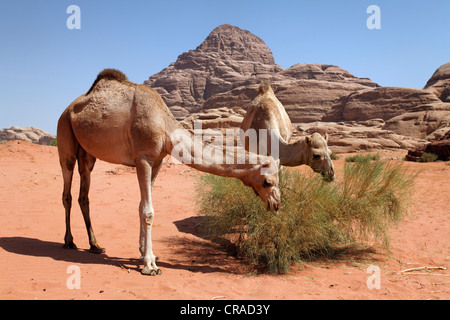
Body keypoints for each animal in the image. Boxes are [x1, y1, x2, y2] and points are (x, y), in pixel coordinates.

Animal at [57, 68, 282, 276]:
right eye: (267, 182)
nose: (276, 204)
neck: (165, 128)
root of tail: (67, 109)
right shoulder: (143, 158)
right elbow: (148, 211)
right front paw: (150, 265)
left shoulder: (157, 161)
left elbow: (141, 206)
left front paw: (143, 253)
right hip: (65, 134)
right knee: (67, 190)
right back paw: (69, 241)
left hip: (87, 153)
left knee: (84, 194)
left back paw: (95, 245)